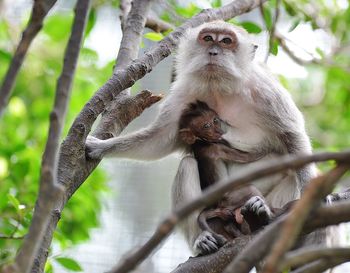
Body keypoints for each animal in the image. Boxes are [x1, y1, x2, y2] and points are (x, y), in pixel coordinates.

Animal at [85, 20, 318, 253]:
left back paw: (261, 217)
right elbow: (159, 139)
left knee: (289, 168)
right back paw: (203, 238)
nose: (213, 52)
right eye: (207, 38)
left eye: (226, 41)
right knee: (187, 165)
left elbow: (291, 136)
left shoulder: (265, 91)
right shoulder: (183, 93)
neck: (219, 85)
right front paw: (101, 147)